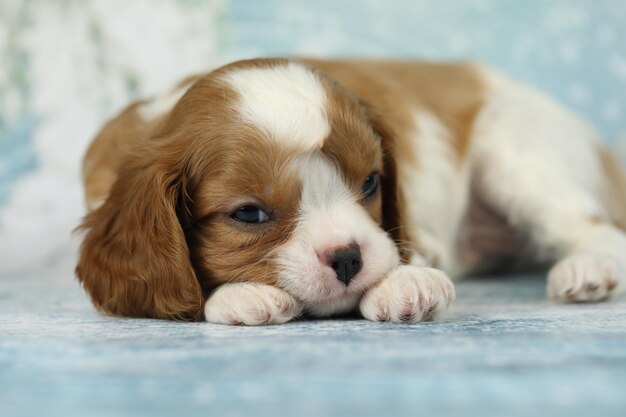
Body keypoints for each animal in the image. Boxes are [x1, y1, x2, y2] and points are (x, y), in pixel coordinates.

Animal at [77, 57, 624, 324]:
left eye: (370, 182)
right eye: (249, 215)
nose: (346, 258)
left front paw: (408, 283)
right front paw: (241, 296)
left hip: (516, 152)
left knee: (600, 231)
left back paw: (587, 270)